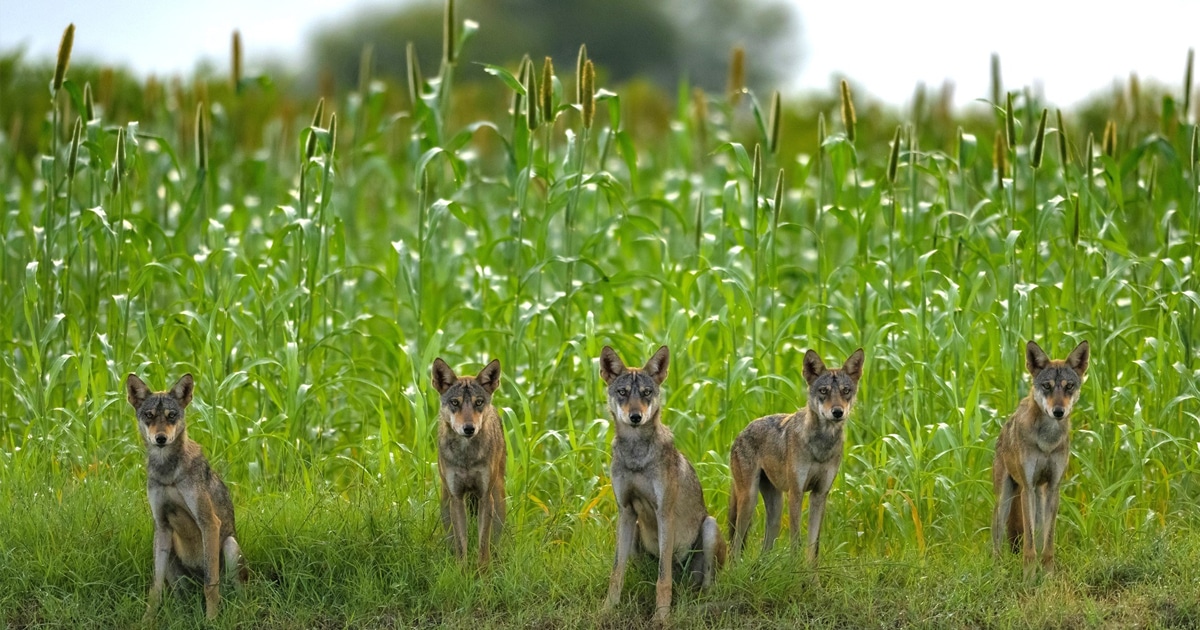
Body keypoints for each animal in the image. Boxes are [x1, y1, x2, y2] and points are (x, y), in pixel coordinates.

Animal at [126, 374, 246, 619]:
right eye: (149, 415)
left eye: (171, 415)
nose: (160, 438)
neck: (168, 473)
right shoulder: (161, 526)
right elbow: (155, 588)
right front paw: (147, 620)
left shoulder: (209, 523)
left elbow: (210, 584)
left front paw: (211, 620)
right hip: (169, 549)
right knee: (181, 596)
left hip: (230, 546)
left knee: (235, 595)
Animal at [600, 345, 720, 619]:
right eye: (622, 392)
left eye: (646, 393)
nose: (635, 416)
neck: (636, 455)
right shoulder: (625, 511)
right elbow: (616, 573)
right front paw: (607, 609)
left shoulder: (664, 513)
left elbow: (662, 579)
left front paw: (661, 618)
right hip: (634, 530)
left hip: (709, 527)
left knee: (703, 584)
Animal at [993, 340, 1089, 578]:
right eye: (1047, 386)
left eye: (1068, 386)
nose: (1058, 411)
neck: (1047, 440)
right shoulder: (1027, 488)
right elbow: (1028, 547)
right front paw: (1028, 578)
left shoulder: (1054, 488)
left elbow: (1048, 544)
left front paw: (1047, 577)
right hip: (1005, 502)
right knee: (996, 543)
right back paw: (997, 572)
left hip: (1040, 498)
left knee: (1038, 535)